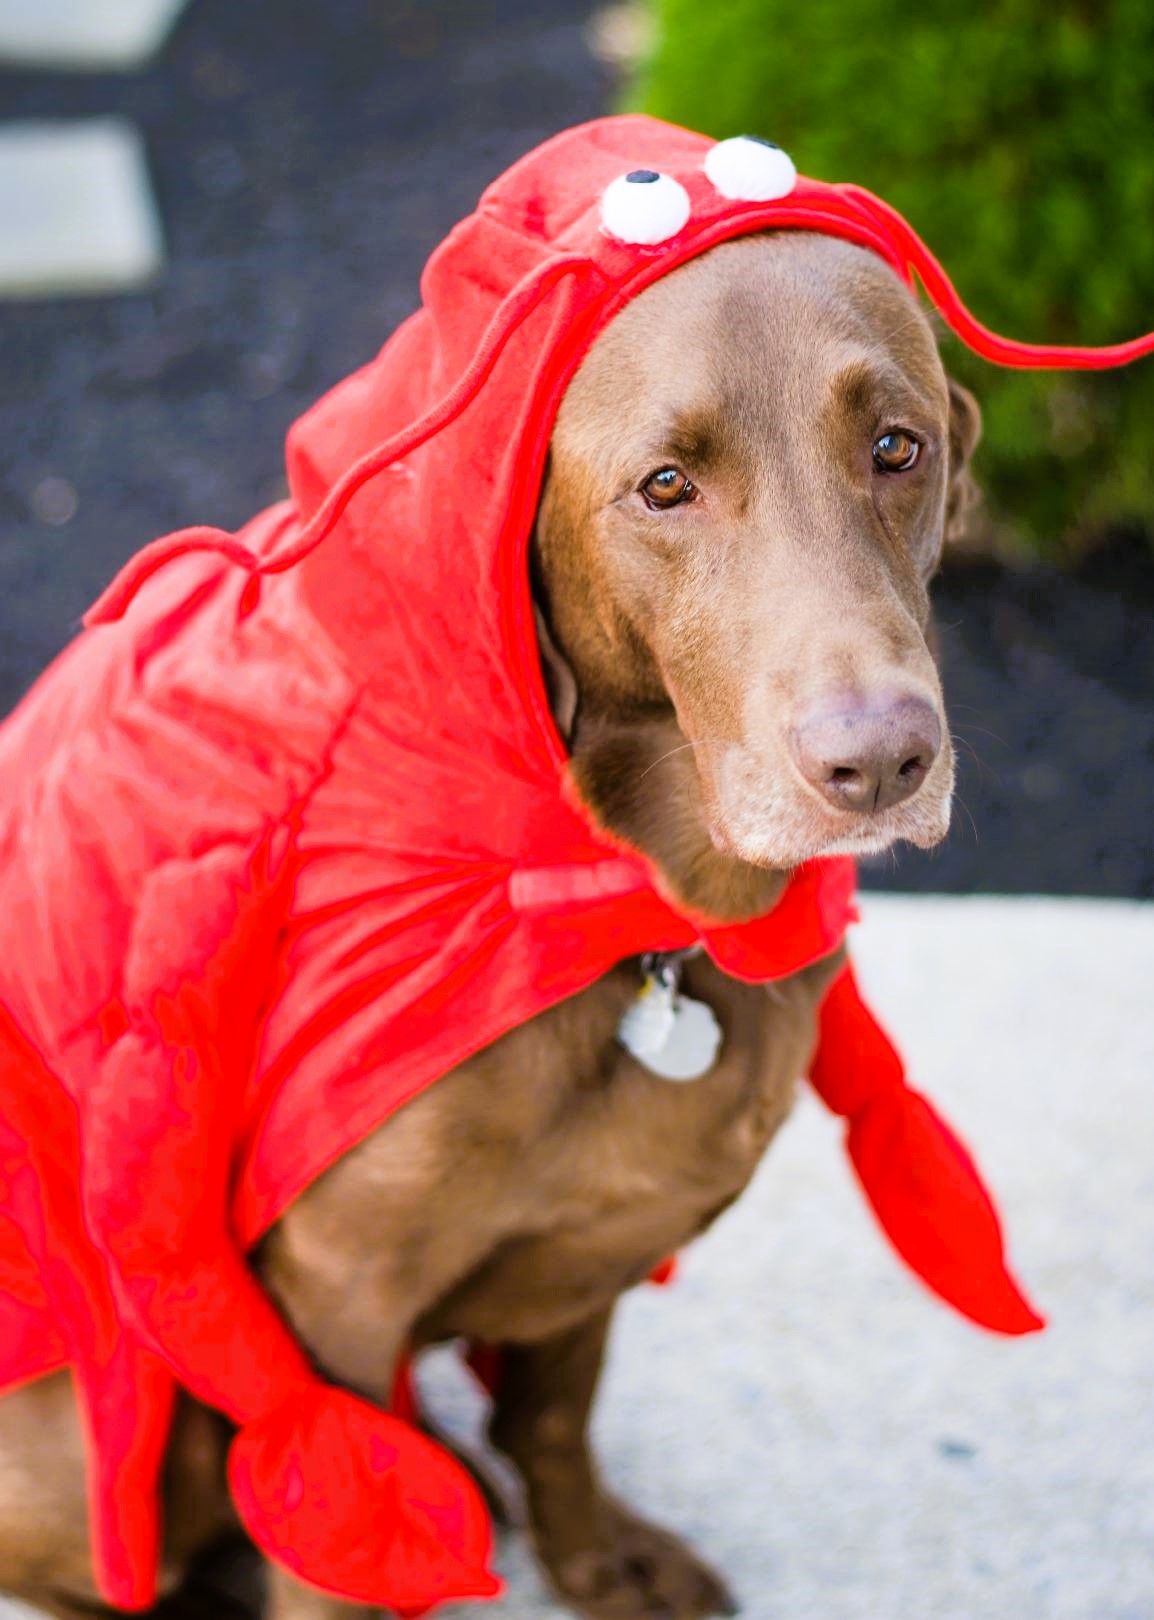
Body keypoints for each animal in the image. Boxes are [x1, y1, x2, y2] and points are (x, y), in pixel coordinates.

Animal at [0, 231, 978, 1620]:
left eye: (897, 446)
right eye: (663, 486)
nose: (880, 764)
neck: (651, 911)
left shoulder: (597, 1237)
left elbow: (554, 1416)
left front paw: (597, 1561)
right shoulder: (338, 1300)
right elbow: (337, 1529)